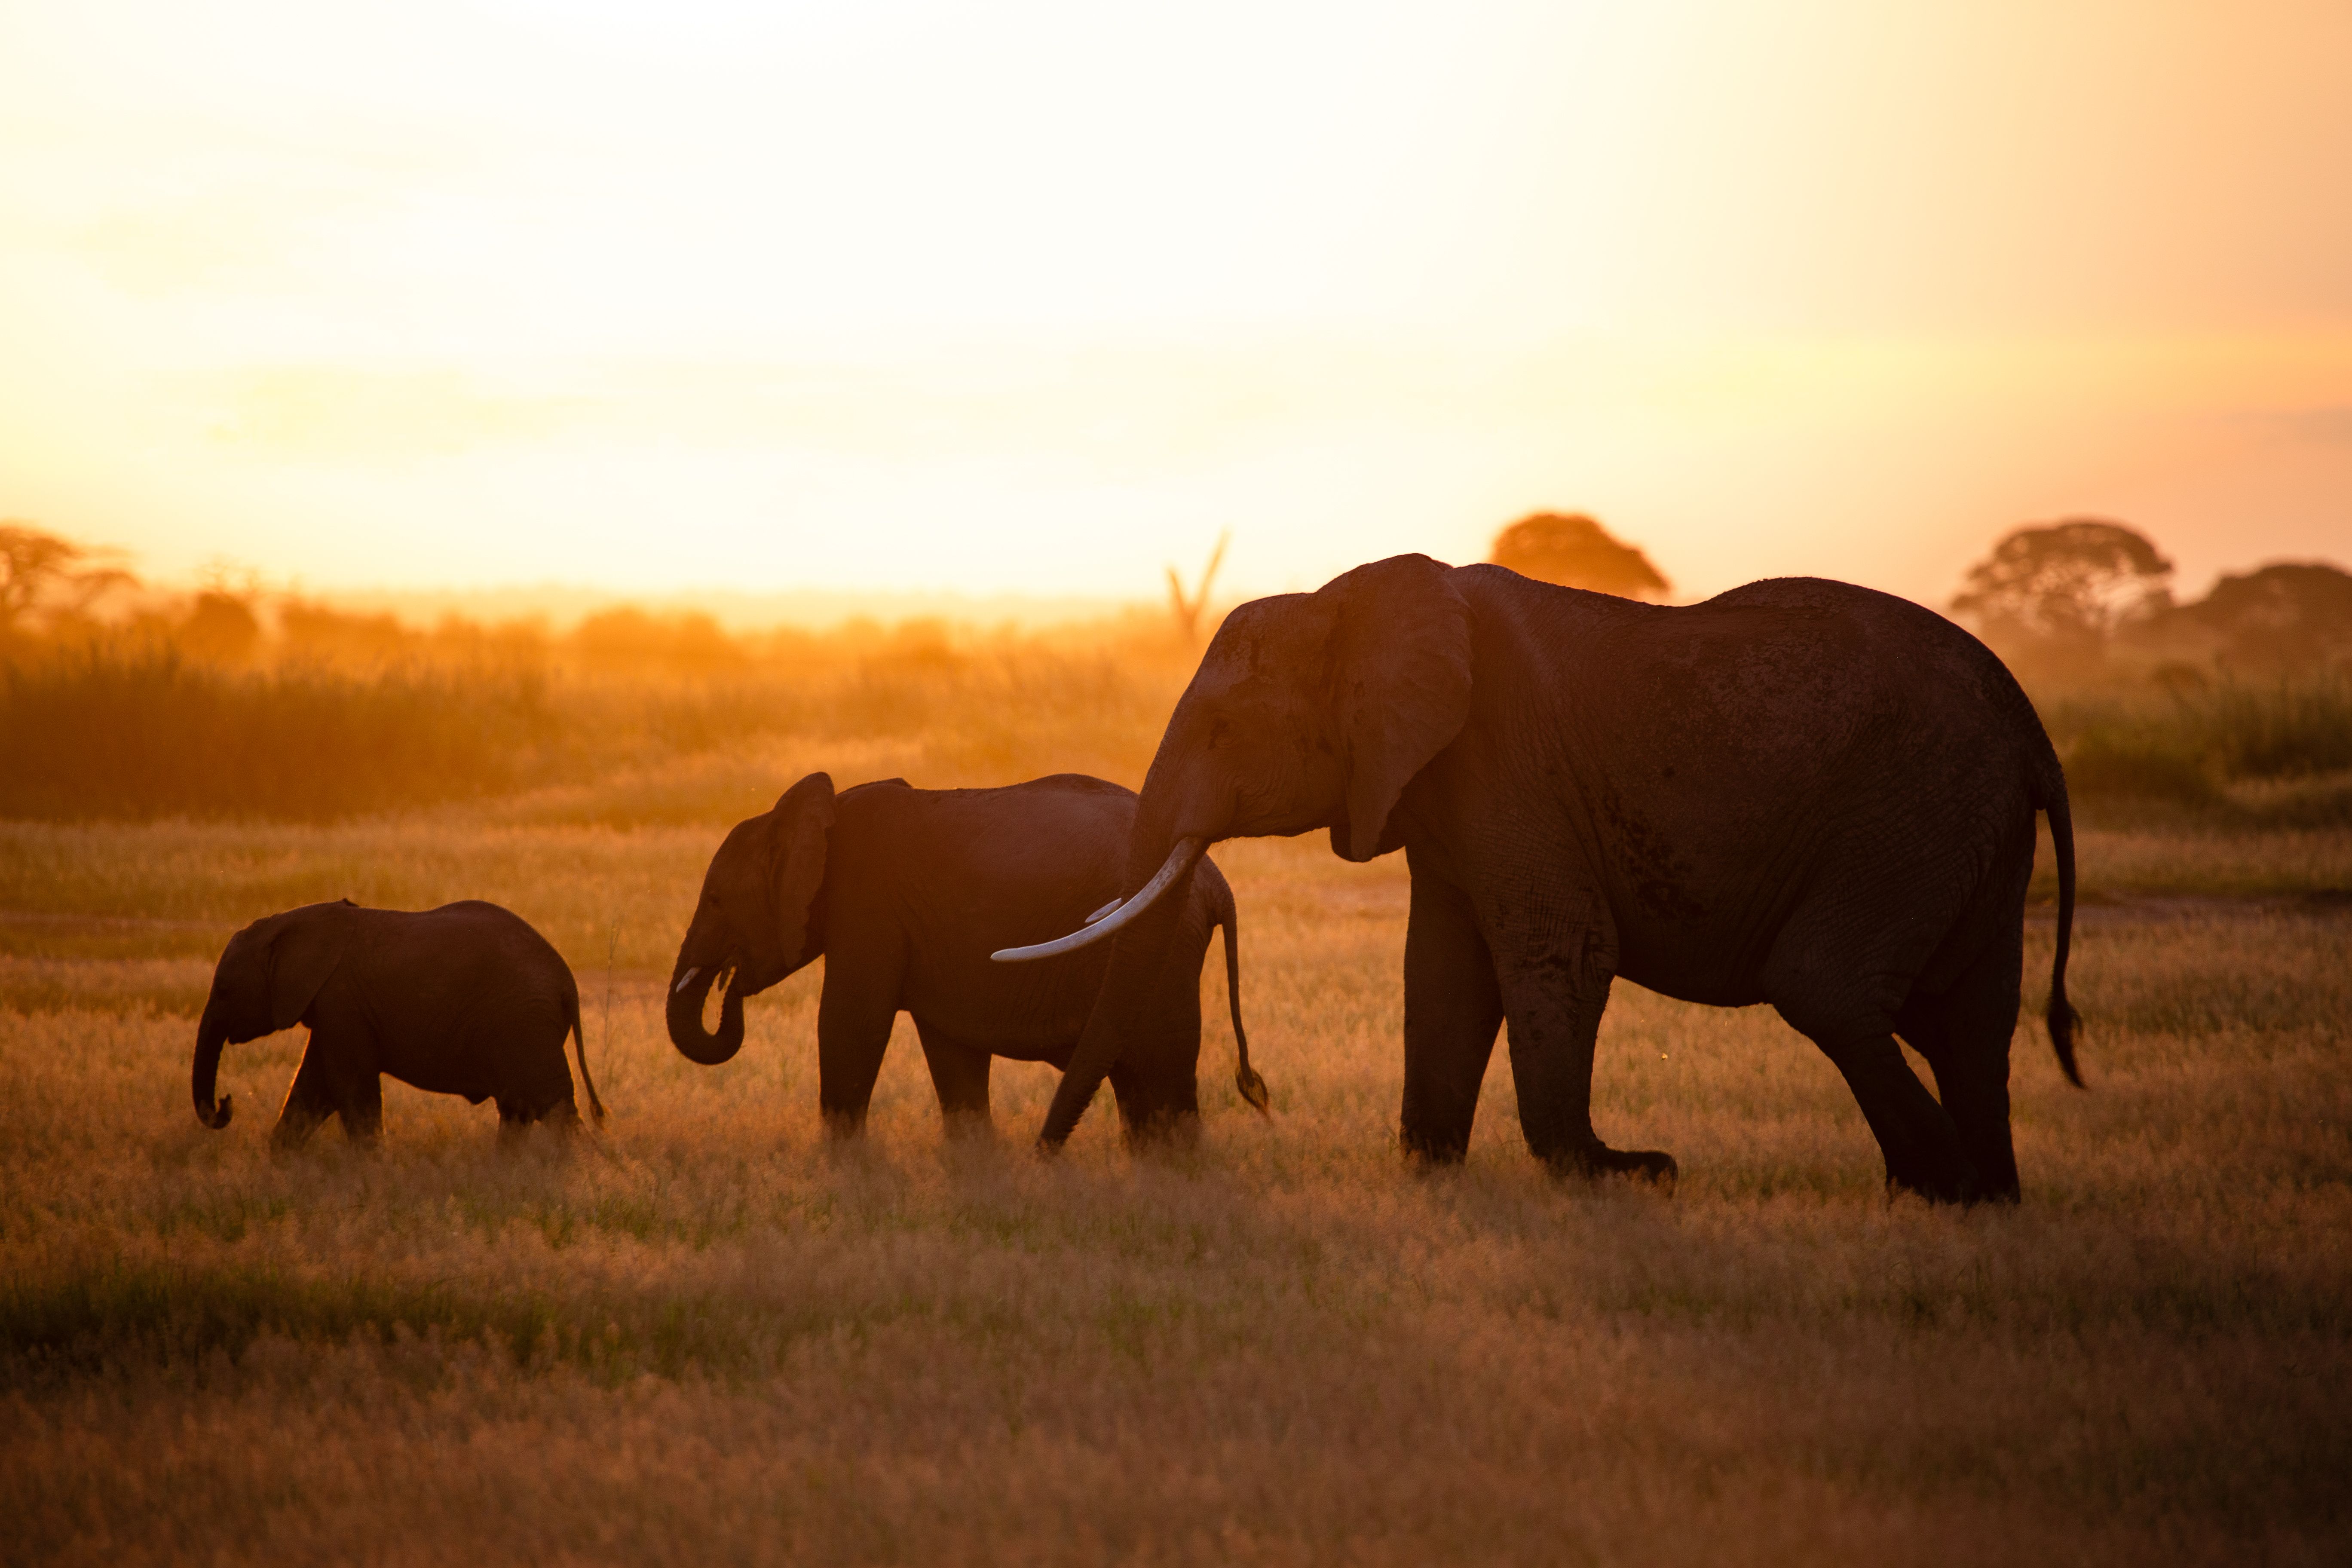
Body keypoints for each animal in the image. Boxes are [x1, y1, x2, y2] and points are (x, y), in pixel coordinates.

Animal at [193, 899, 604, 1148]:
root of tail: (568, 983)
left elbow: (348, 1088)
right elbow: (312, 1088)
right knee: (518, 1107)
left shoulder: (343, 1003)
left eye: (225, 991)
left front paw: (372, 1170)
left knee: (552, 1104)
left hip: (523, 1023)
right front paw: (279, 1163)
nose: (226, 1103)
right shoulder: (332, 1009)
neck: (288, 923)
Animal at [665, 772, 1265, 1141]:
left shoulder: (867, 905)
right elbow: (952, 1055)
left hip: (1165, 956)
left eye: (715, 899)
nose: (728, 985)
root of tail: (1217, 884)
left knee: (1162, 1083)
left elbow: (850, 1025)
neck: (807, 814)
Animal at [1002, 554, 2080, 1204]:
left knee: (1830, 988)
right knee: (1967, 1020)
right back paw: (1983, 1200)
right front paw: (1432, 1172)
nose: (1042, 1160)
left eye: (1225, 731)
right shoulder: (1434, 785)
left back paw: (1946, 1188)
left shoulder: (1504, 763)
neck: (1350, 602)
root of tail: (2031, 728)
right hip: (1961, 834)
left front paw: (1617, 1175)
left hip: (1915, 810)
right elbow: (1441, 971)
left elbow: (1555, 950)